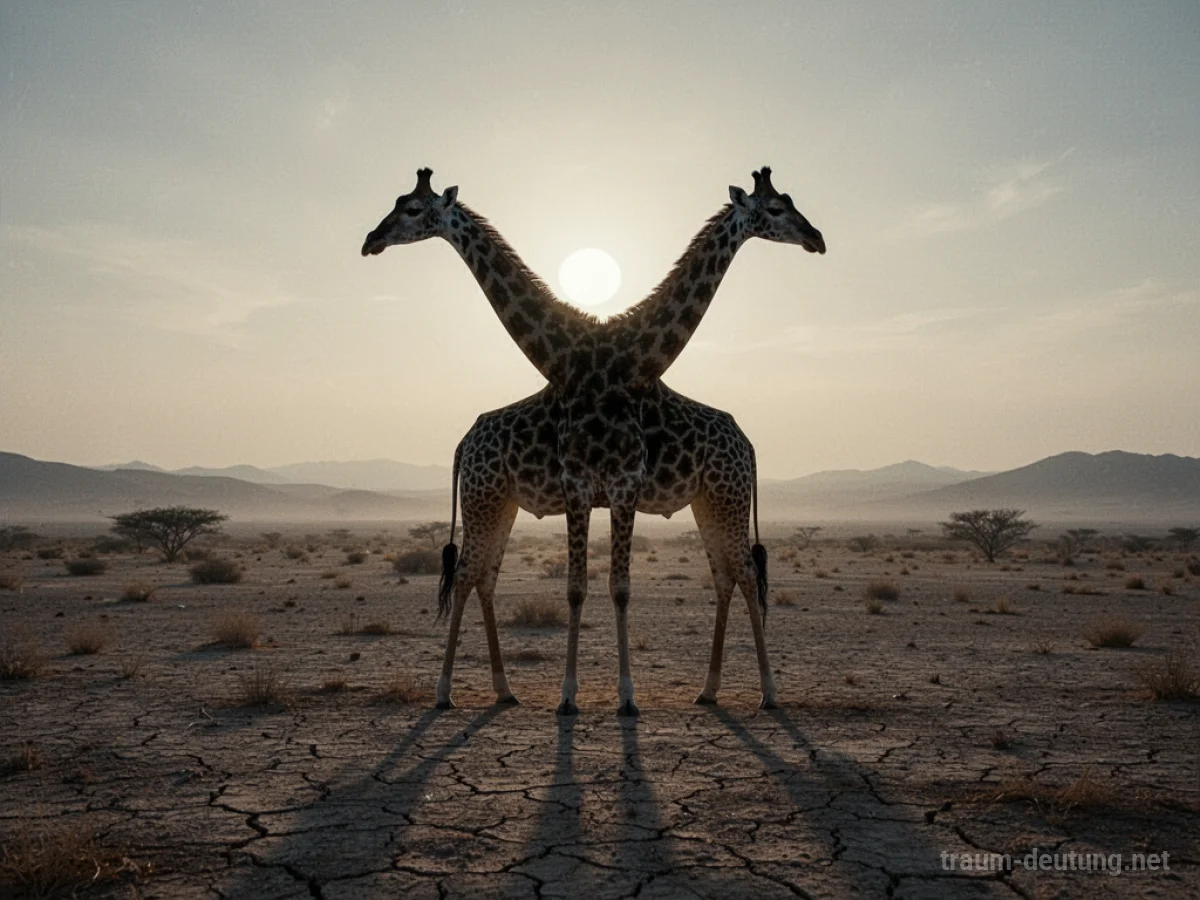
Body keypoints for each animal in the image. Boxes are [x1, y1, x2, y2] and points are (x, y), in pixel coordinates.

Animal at [434, 383, 775, 713]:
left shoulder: (614, 493)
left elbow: (614, 588)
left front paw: (616, 697)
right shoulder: (587, 492)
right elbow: (581, 588)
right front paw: (578, 697)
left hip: (721, 496)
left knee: (739, 573)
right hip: (490, 498)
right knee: (474, 575)